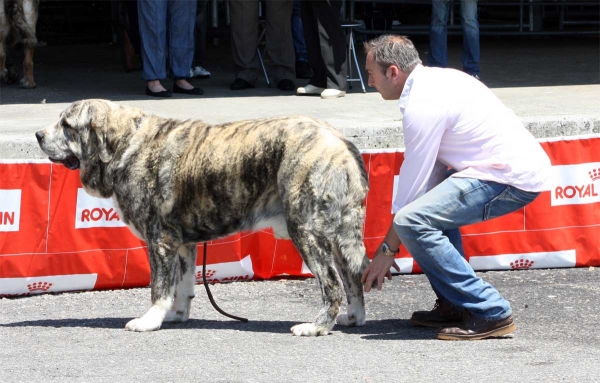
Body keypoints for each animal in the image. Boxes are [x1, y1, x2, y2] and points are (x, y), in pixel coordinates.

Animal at [35, 100, 372, 336]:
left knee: (332, 284)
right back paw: (353, 318)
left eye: (66, 124)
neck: (125, 146)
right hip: (340, 237)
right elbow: (182, 286)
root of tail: (340, 141)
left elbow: (159, 287)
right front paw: (175, 316)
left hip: (306, 231)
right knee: (353, 279)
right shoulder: (182, 244)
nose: (38, 134)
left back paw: (317, 327)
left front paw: (149, 320)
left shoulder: (159, 241)